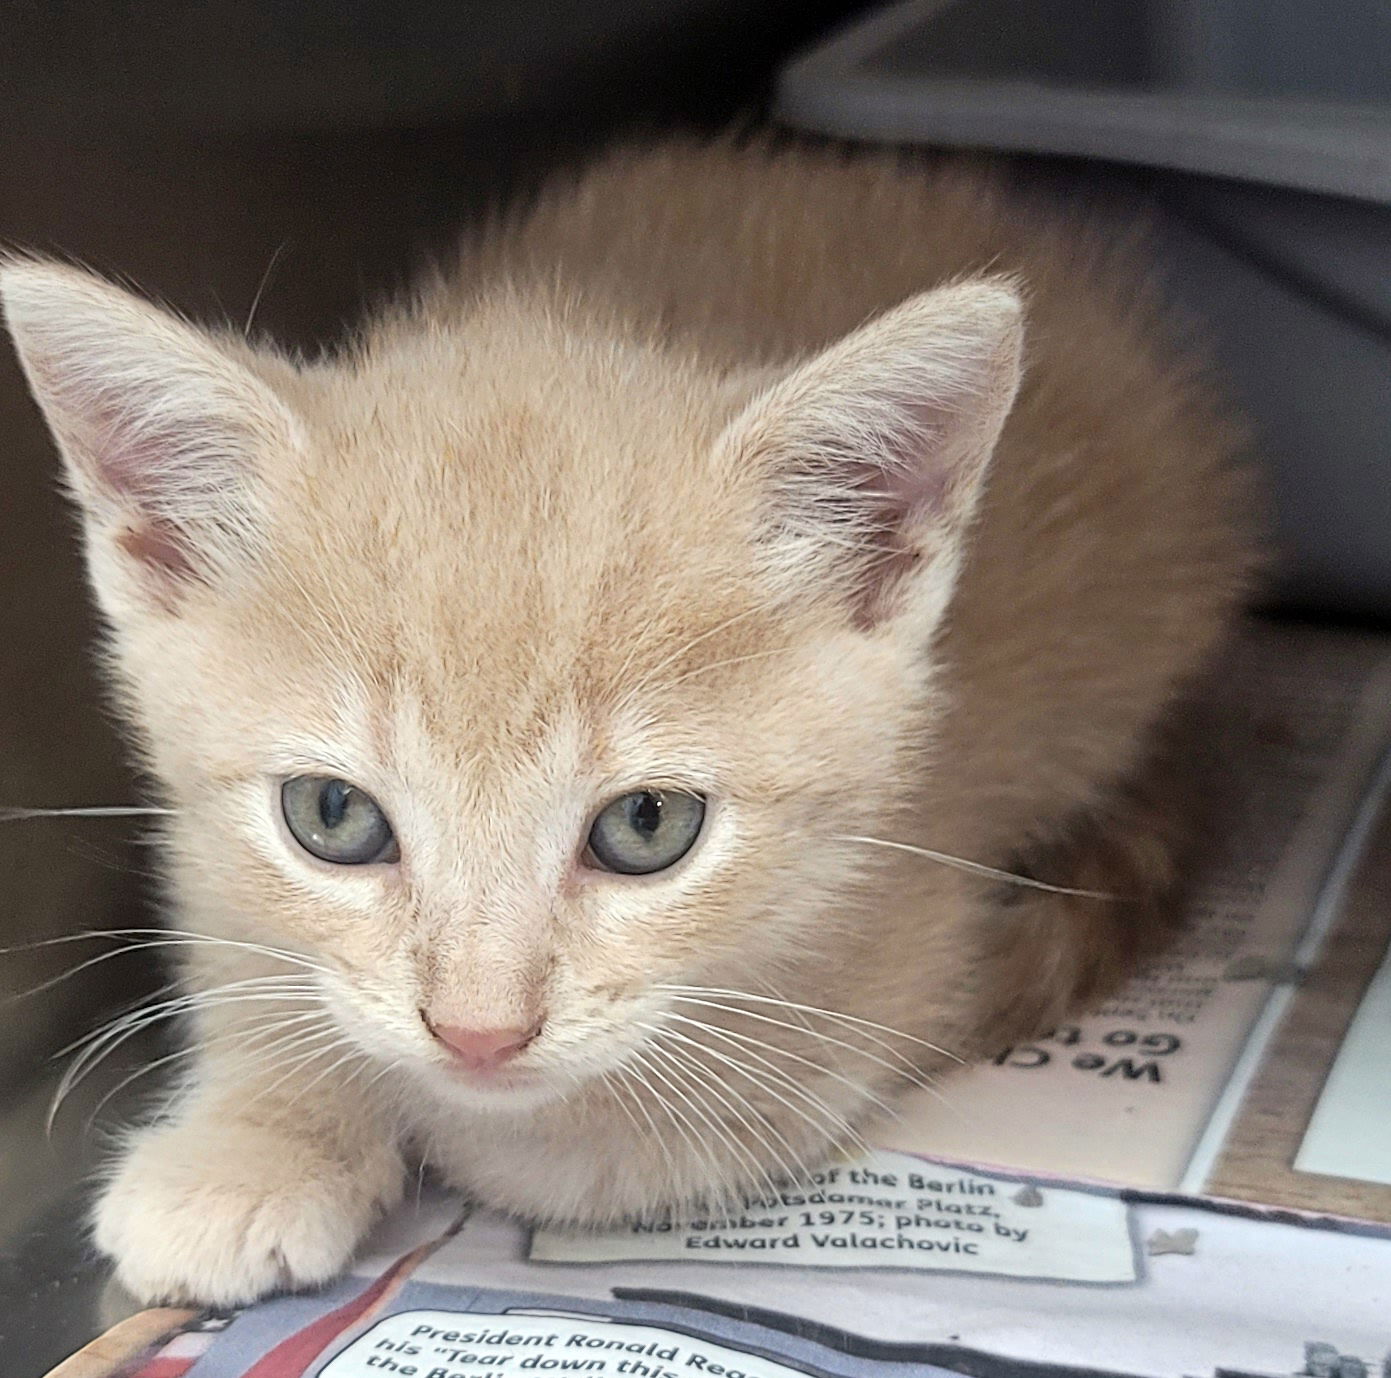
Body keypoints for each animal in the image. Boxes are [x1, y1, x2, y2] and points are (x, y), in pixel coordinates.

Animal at [0, 142, 1257, 1312]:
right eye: (332, 815)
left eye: (647, 825)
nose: (477, 1037)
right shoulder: (201, 840)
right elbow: (248, 957)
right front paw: (257, 1139)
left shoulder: (904, 933)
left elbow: (625, 1146)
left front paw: (453, 1133)